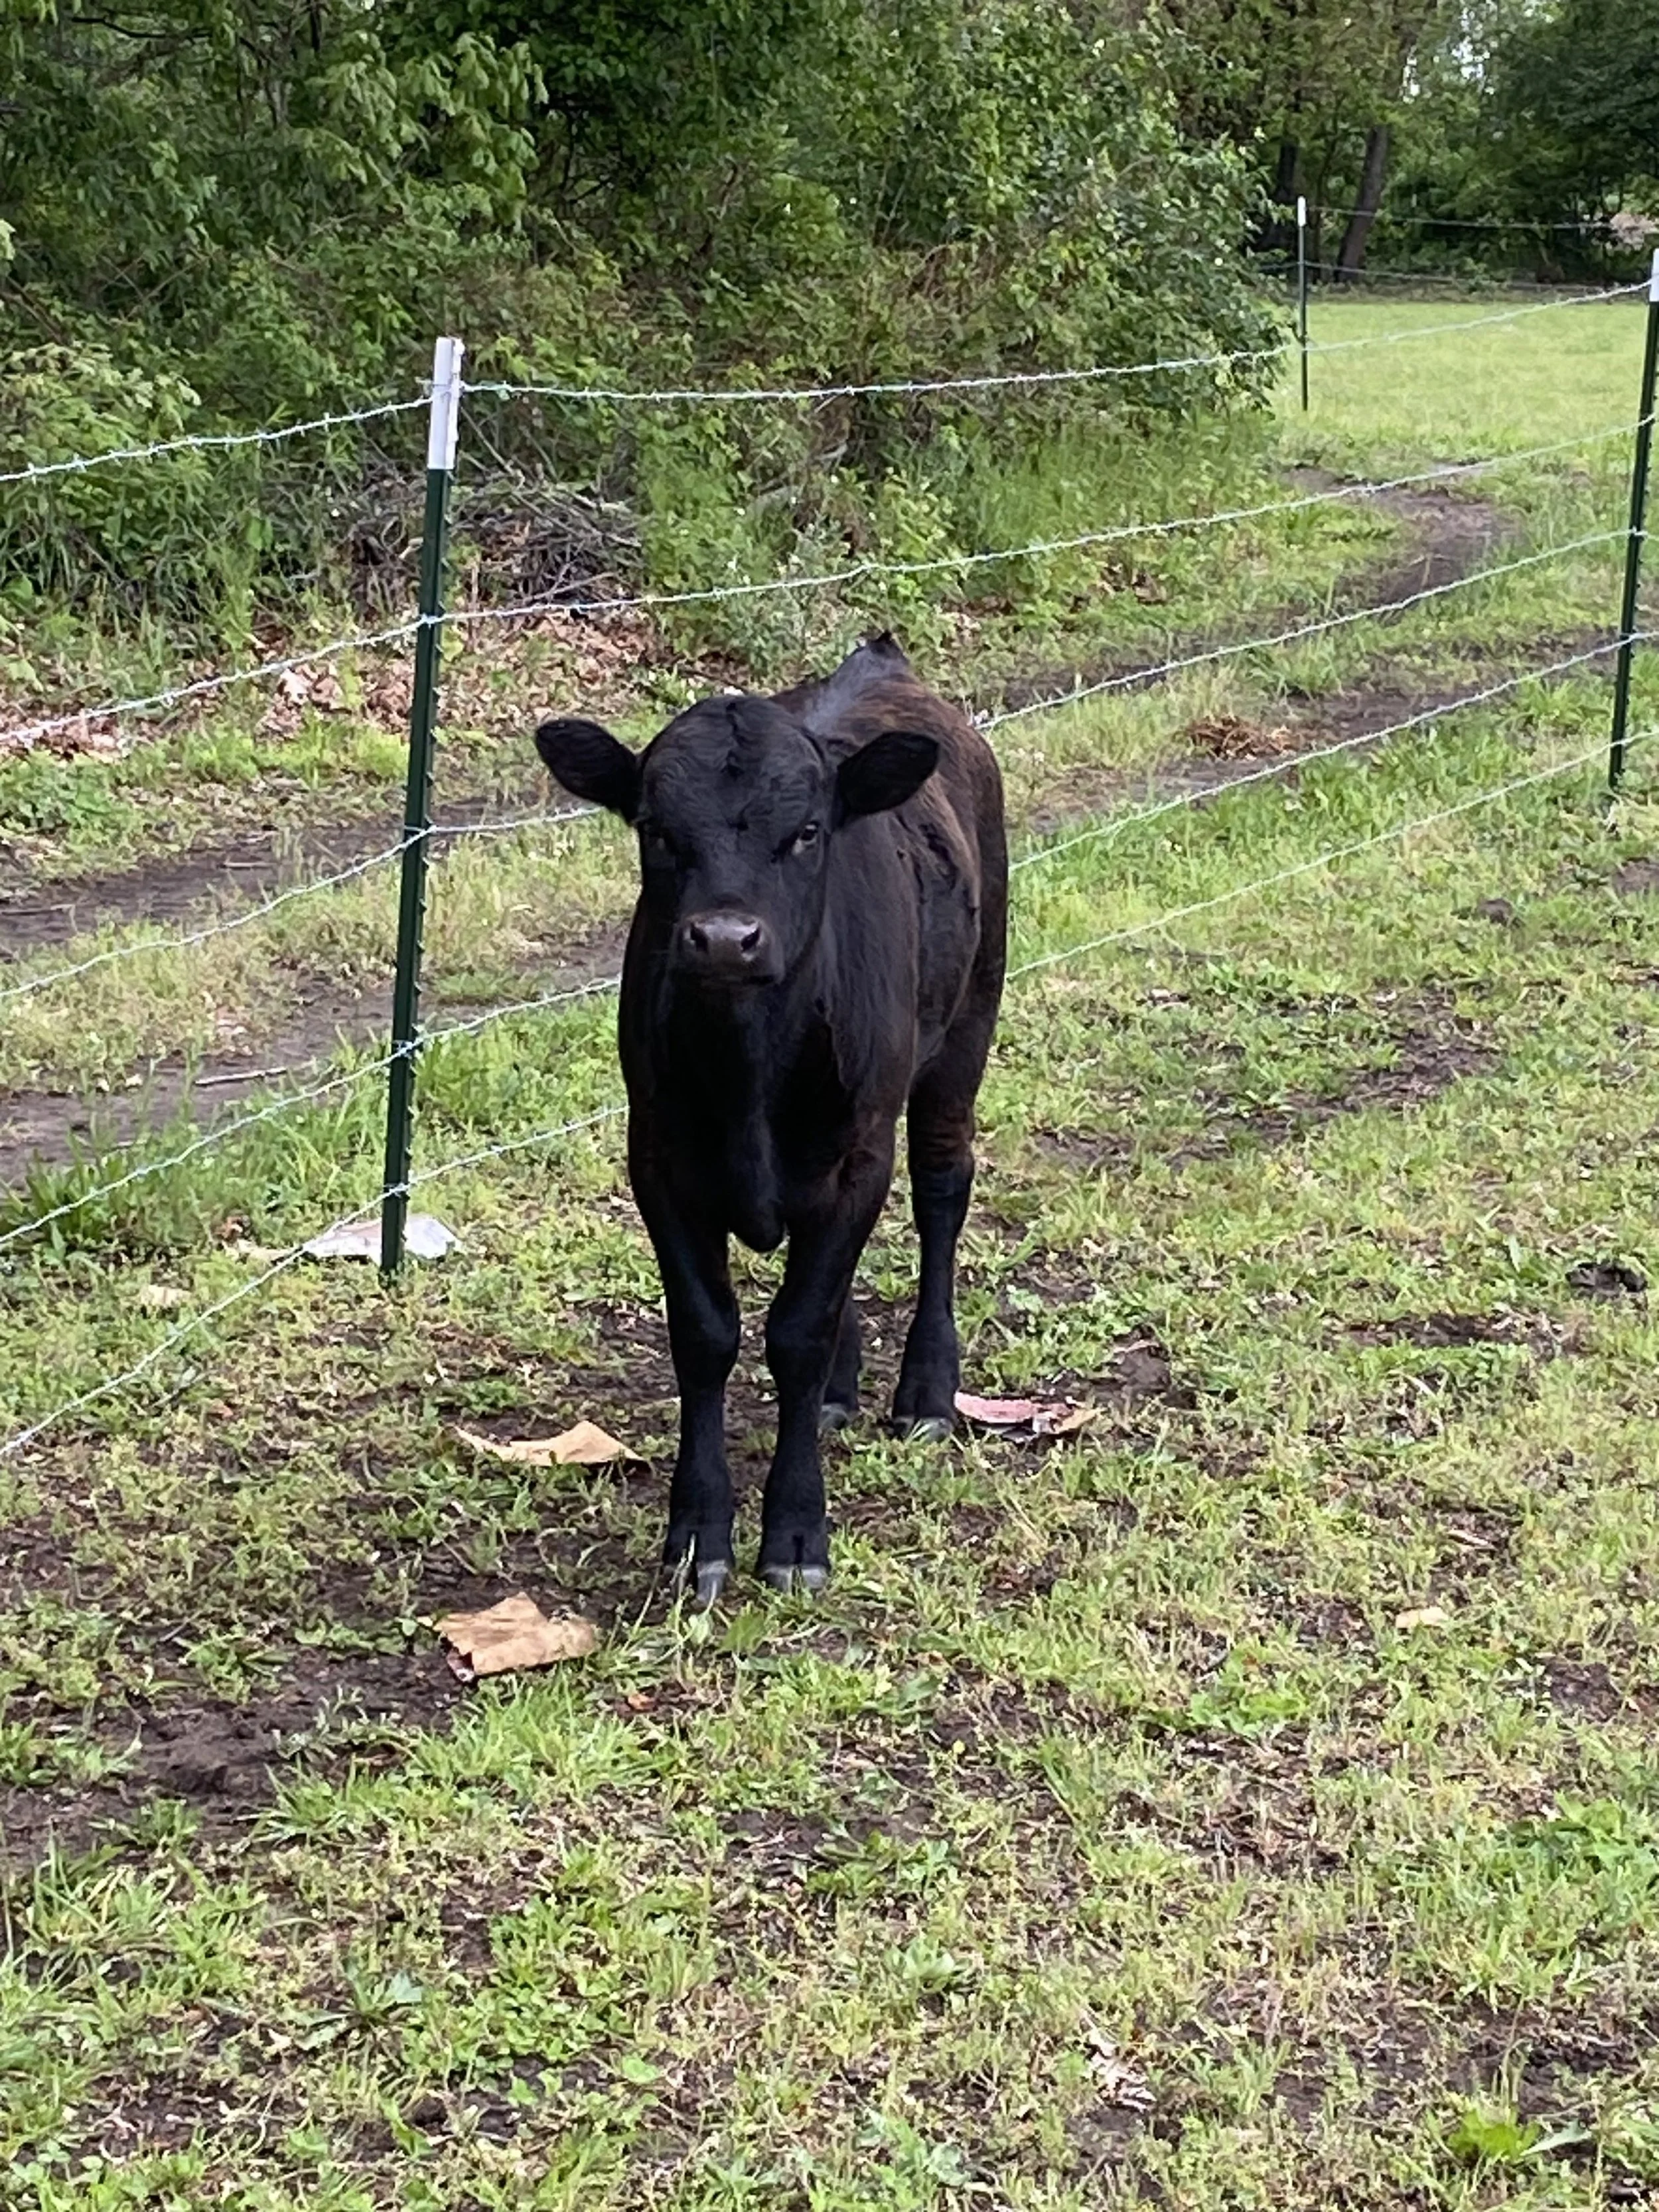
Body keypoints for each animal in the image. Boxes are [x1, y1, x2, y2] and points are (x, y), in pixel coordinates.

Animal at [533, 633, 1006, 1600]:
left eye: (809, 831)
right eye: (655, 829)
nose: (724, 939)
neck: (748, 1064)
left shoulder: (858, 1154)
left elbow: (796, 1330)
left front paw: (794, 1533)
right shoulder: (660, 1159)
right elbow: (708, 1333)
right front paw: (696, 1535)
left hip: (968, 1024)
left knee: (942, 1190)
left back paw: (927, 1391)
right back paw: (841, 1389)